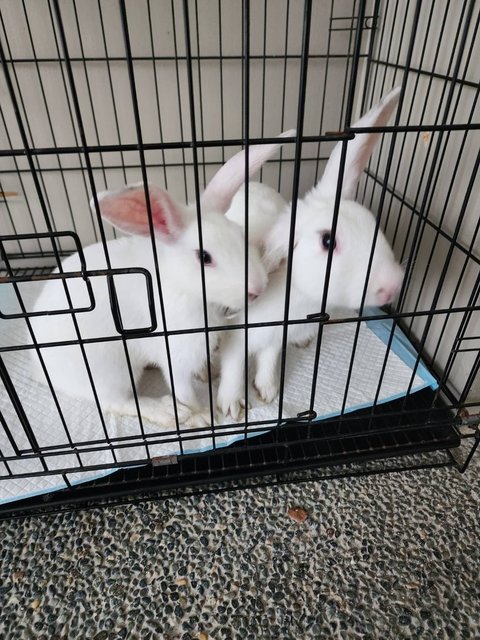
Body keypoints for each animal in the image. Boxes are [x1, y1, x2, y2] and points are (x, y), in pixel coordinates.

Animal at [31, 130, 292, 428]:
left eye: (241, 234)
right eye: (204, 257)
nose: (258, 288)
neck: (184, 288)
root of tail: (39, 367)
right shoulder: (176, 356)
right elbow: (184, 390)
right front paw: (201, 417)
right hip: (111, 373)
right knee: (117, 402)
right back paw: (167, 411)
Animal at [218, 90, 404, 420]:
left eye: (373, 224)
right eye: (328, 241)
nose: (394, 284)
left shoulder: (273, 340)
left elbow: (268, 361)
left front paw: (267, 390)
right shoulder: (237, 336)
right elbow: (232, 367)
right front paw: (232, 406)